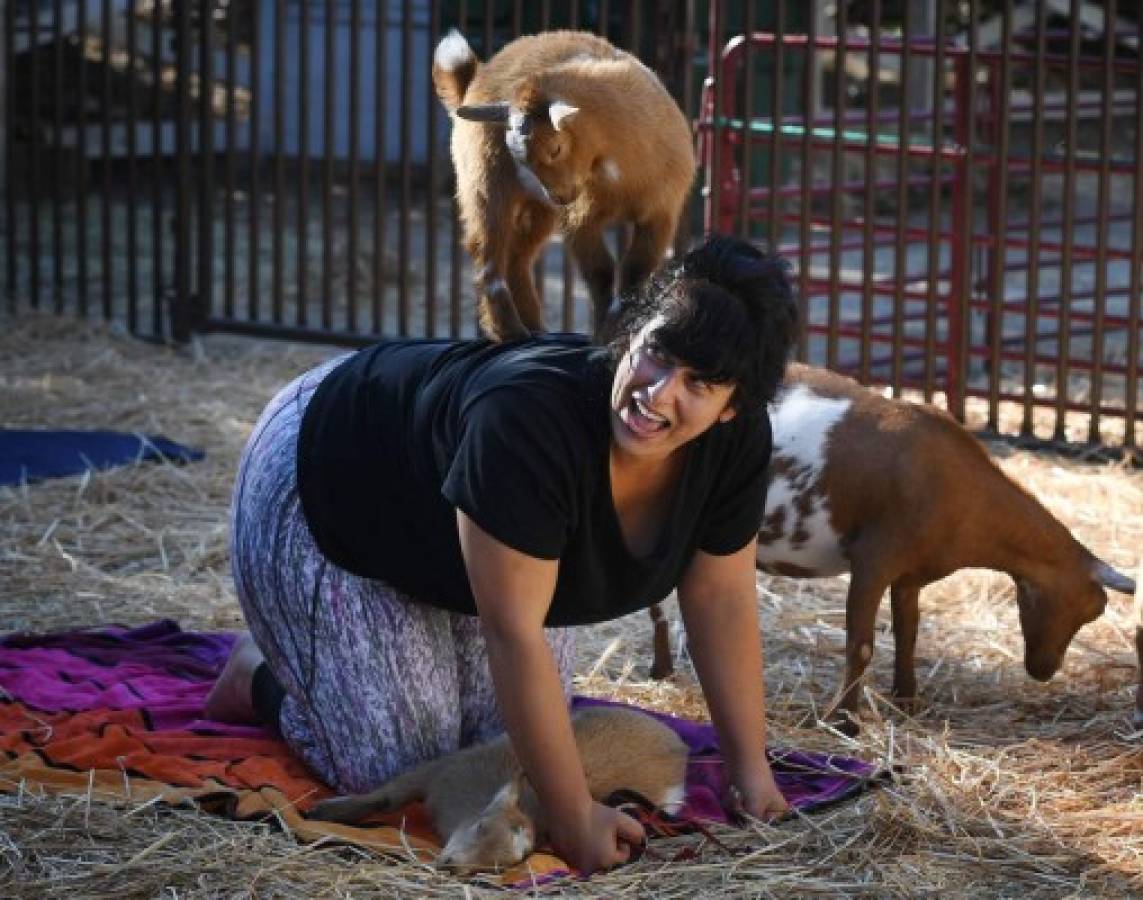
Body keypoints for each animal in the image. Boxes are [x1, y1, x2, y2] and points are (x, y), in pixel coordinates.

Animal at [306, 709, 685, 878]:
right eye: (480, 826)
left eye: (504, 863)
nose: (451, 866)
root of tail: (678, 744)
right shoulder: (442, 770)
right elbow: (387, 796)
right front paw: (323, 811)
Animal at [429, 29, 690, 340]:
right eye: (519, 156)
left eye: (555, 148)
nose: (559, 197)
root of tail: (474, 80)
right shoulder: (581, 218)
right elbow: (600, 271)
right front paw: (603, 332)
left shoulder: (661, 213)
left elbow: (635, 271)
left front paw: (622, 326)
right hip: (485, 182)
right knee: (488, 253)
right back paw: (510, 330)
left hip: (538, 209)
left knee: (517, 257)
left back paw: (536, 328)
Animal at [649, 365, 1138, 731]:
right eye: (1083, 609)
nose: (1043, 669)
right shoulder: (873, 560)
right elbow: (861, 644)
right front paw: (843, 719)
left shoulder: (910, 574)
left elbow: (908, 632)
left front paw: (907, 699)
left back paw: (664, 669)